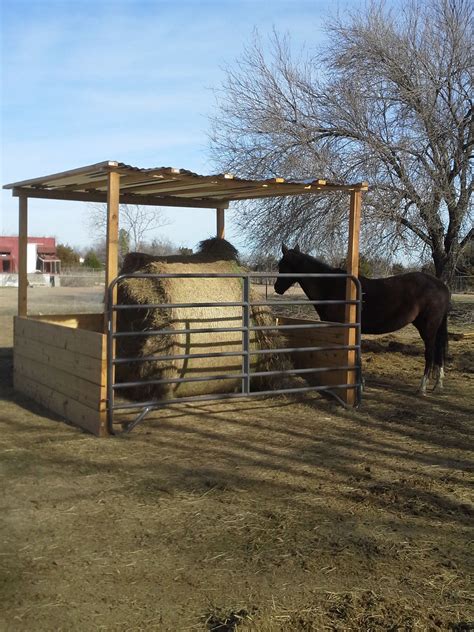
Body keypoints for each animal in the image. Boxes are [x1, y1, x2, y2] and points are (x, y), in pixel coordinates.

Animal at [272, 243, 450, 396]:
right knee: (439, 349)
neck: (330, 285)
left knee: (430, 353)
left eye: (282, 264)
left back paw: (423, 387)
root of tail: (441, 285)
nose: (276, 288)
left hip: (428, 328)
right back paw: (438, 384)